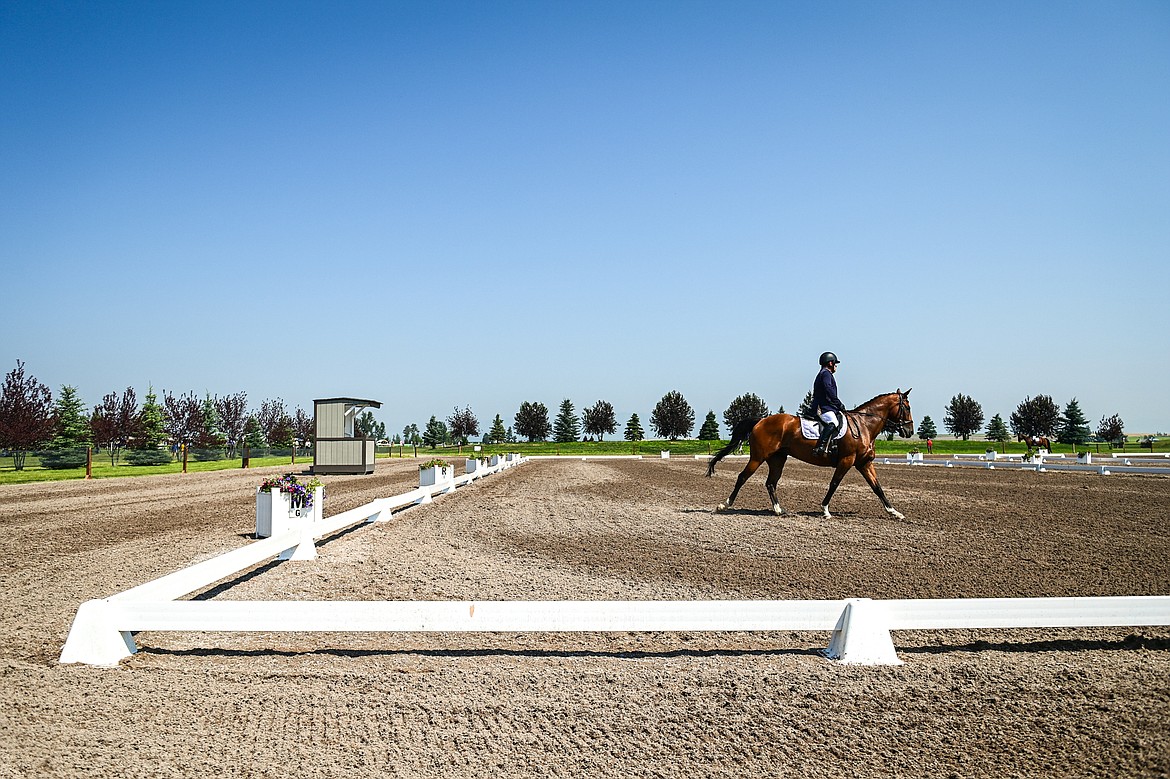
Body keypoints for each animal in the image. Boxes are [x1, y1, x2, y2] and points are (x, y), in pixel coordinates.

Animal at [702, 385, 912, 519]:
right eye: (907, 407)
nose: (909, 431)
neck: (863, 426)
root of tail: (760, 421)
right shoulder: (846, 460)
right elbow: (834, 484)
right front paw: (825, 510)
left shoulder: (863, 463)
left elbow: (877, 487)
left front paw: (894, 512)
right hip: (758, 457)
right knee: (742, 477)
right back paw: (724, 505)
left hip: (778, 459)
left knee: (770, 483)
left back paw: (779, 510)